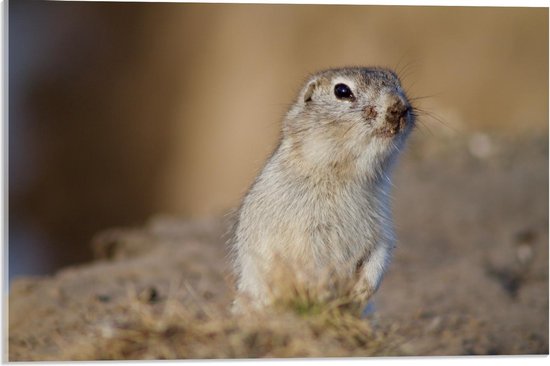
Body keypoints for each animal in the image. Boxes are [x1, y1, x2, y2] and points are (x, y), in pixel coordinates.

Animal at [231, 66, 416, 312]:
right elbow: (312, 264)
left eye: (397, 82)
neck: (345, 176)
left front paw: (361, 292)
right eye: (342, 91)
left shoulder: (382, 227)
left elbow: (380, 253)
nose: (398, 106)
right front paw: (326, 293)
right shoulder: (305, 230)